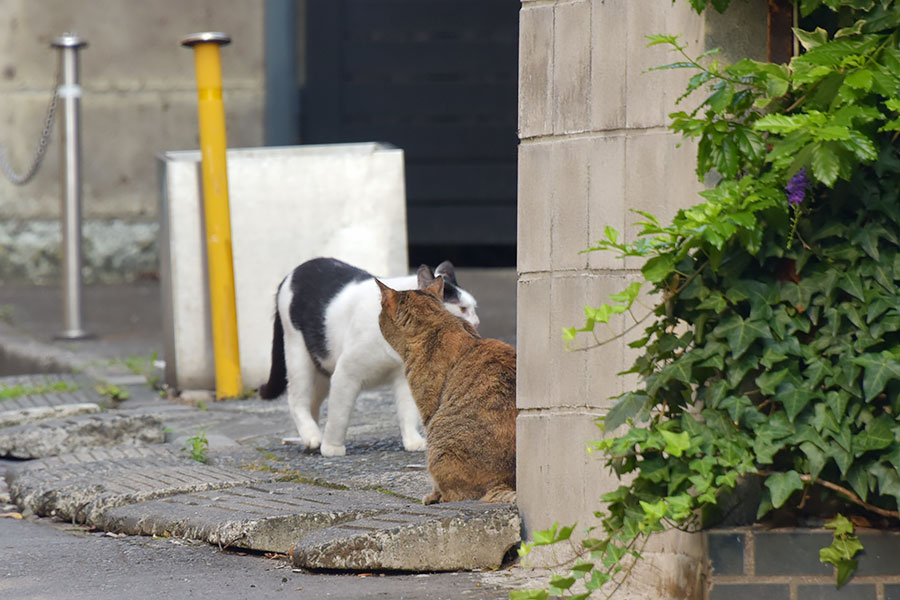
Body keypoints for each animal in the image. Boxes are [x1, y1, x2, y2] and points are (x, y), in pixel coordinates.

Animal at [258, 255, 478, 458]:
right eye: (462, 308)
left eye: (474, 308)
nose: (476, 322)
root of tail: (293, 272)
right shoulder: (345, 375)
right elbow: (339, 416)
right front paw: (332, 448)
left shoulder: (404, 378)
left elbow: (408, 412)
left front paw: (413, 441)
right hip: (298, 355)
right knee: (296, 400)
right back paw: (313, 437)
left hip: (322, 367)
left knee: (312, 402)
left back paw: (309, 436)